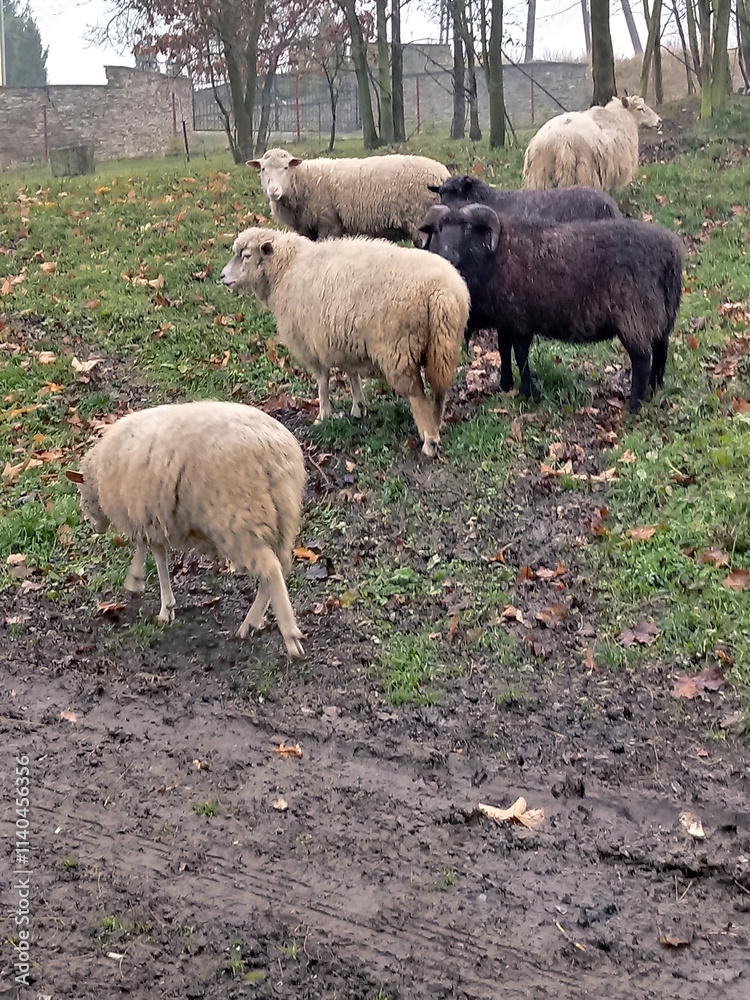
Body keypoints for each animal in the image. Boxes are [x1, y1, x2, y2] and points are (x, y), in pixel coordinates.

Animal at [66, 401, 306, 658]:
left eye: (81, 495)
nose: (95, 527)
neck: (100, 474)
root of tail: (271, 451)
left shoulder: (144, 513)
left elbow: (154, 554)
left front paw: (150, 593)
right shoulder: (150, 515)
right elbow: (150, 549)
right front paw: (142, 584)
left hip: (240, 520)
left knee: (270, 570)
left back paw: (289, 636)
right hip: (283, 517)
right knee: (277, 568)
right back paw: (251, 623)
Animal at [221, 227, 470, 457]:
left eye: (246, 255)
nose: (222, 277)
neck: (285, 271)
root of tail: (442, 292)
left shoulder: (310, 345)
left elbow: (322, 381)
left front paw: (323, 415)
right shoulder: (344, 340)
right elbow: (352, 374)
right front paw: (359, 407)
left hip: (398, 350)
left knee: (417, 394)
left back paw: (430, 440)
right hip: (444, 344)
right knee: (439, 389)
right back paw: (436, 423)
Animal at [247, 148, 449, 243]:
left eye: (285, 167)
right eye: (263, 169)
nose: (273, 190)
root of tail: (443, 174)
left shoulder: (328, 224)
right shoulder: (306, 229)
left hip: (421, 219)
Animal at [419, 204, 683, 412]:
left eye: (466, 229)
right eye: (439, 229)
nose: (446, 256)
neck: (492, 255)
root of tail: (671, 253)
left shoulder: (520, 319)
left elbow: (520, 355)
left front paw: (527, 392)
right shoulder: (505, 317)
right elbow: (504, 350)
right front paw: (506, 385)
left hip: (635, 316)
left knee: (642, 359)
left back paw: (635, 405)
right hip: (662, 313)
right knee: (661, 348)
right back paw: (655, 387)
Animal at [523, 95, 661, 191]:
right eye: (640, 108)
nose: (659, 121)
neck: (621, 117)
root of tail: (551, 144)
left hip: (541, 176)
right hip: (581, 173)